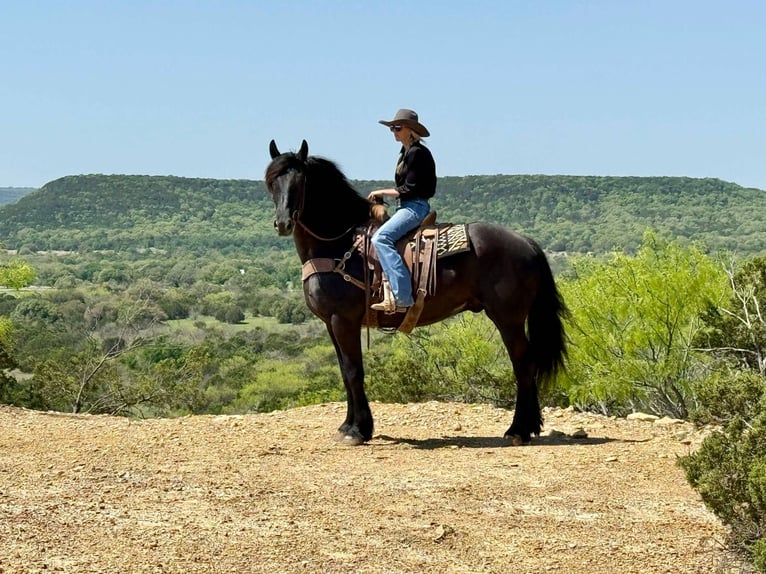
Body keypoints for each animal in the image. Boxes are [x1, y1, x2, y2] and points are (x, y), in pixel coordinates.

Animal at [265, 140, 568, 446]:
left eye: (301, 182)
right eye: (272, 182)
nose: (283, 223)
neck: (339, 245)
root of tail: (526, 242)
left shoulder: (344, 320)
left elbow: (353, 371)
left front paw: (358, 430)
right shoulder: (331, 323)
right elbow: (344, 372)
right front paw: (349, 426)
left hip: (509, 319)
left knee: (523, 365)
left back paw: (518, 430)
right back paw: (528, 427)